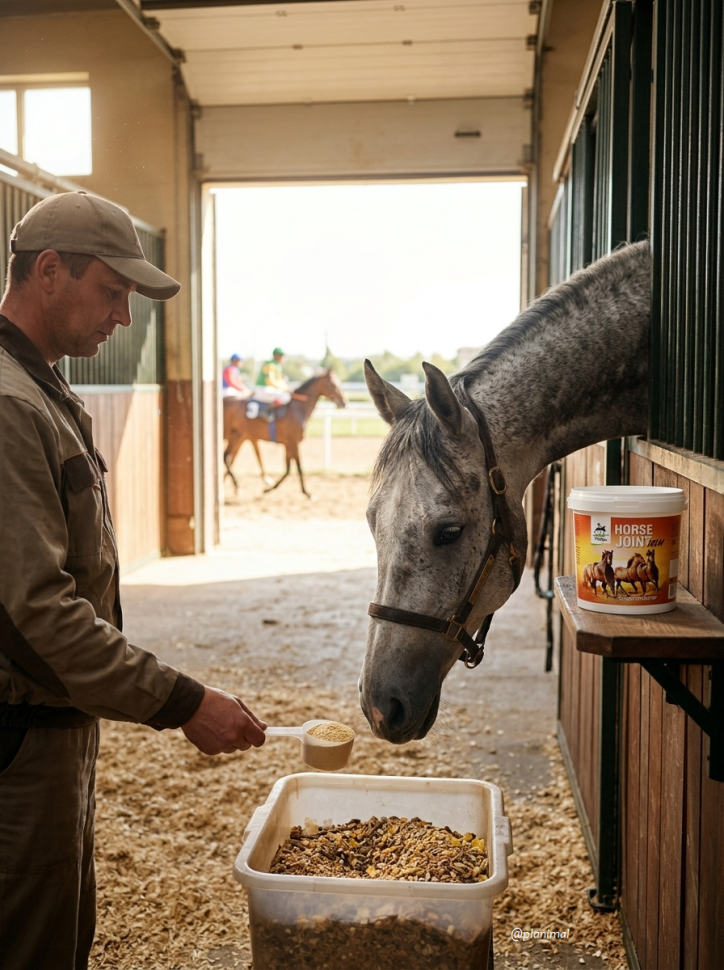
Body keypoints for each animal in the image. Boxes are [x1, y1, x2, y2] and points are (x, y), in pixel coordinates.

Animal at [223, 369, 346, 497]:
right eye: (333, 384)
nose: (344, 402)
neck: (297, 408)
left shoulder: (288, 444)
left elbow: (288, 468)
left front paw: (269, 489)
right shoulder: (293, 442)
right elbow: (298, 466)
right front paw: (307, 492)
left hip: (237, 435)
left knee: (227, 457)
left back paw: (234, 485)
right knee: (227, 457)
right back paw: (235, 485)